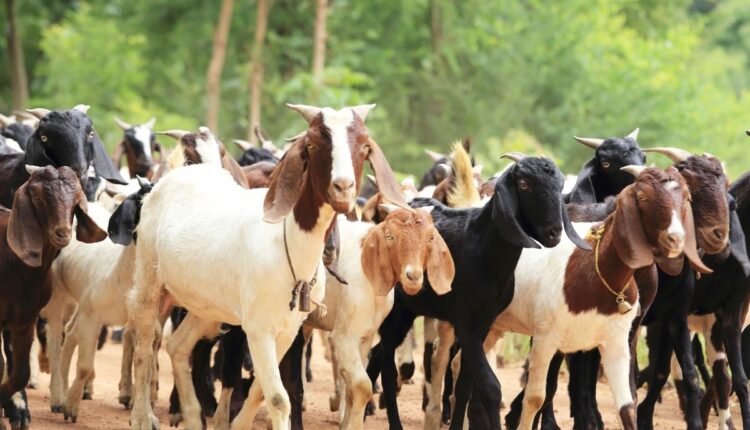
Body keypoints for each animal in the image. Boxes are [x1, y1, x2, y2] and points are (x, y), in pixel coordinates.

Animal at [127, 104, 406, 430]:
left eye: (364, 146)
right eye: (313, 144)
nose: (343, 188)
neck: (290, 247)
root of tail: (170, 179)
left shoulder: (288, 330)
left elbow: (262, 389)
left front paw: (236, 424)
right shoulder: (258, 329)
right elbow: (277, 397)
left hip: (206, 305)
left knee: (178, 347)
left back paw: (194, 417)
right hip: (149, 280)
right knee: (146, 344)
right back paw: (142, 415)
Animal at [366, 153, 589, 429]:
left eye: (560, 185)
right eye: (524, 185)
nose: (554, 233)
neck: (484, 249)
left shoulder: (484, 323)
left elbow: (465, 384)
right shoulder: (466, 324)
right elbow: (490, 386)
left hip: (408, 310)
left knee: (379, 355)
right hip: (395, 311)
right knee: (387, 366)